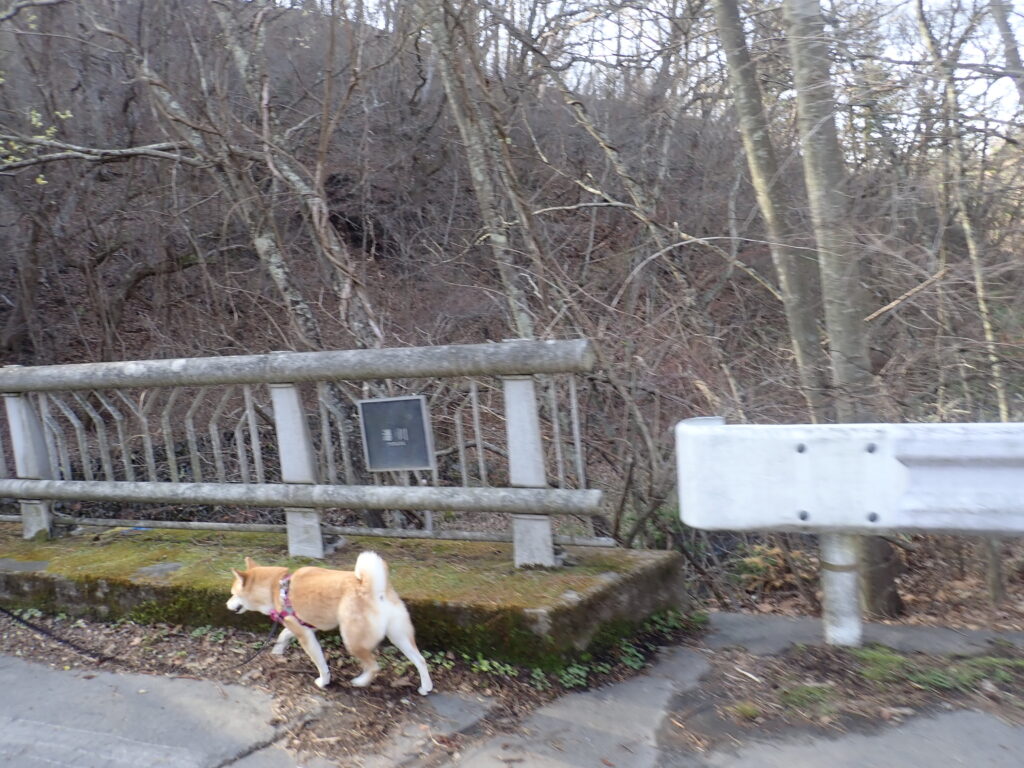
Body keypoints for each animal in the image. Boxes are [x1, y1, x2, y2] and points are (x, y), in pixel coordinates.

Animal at [226, 551, 432, 695]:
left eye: (233, 594)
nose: (227, 604)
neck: (276, 587)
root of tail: (375, 589)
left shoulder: (306, 636)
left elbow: (320, 664)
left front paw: (323, 681)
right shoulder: (304, 625)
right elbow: (284, 634)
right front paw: (278, 650)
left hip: (353, 641)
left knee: (374, 667)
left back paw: (360, 682)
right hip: (399, 637)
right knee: (420, 660)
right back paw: (426, 687)